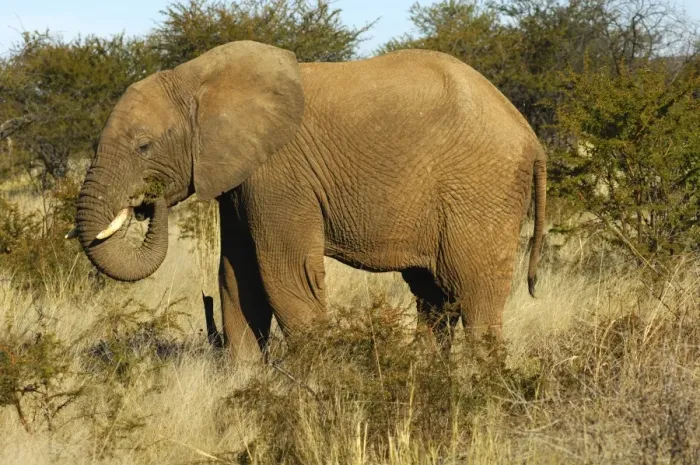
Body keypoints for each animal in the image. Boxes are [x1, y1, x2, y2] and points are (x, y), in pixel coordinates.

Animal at [69, 40, 546, 360]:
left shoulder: (279, 175)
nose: (146, 200)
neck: (197, 79)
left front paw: (318, 383)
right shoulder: (242, 177)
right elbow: (237, 275)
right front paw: (245, 379)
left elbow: (285, 276)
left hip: (481, 188)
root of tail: (530, 135)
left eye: (144, 147)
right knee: (435, 295)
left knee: (473, 292)